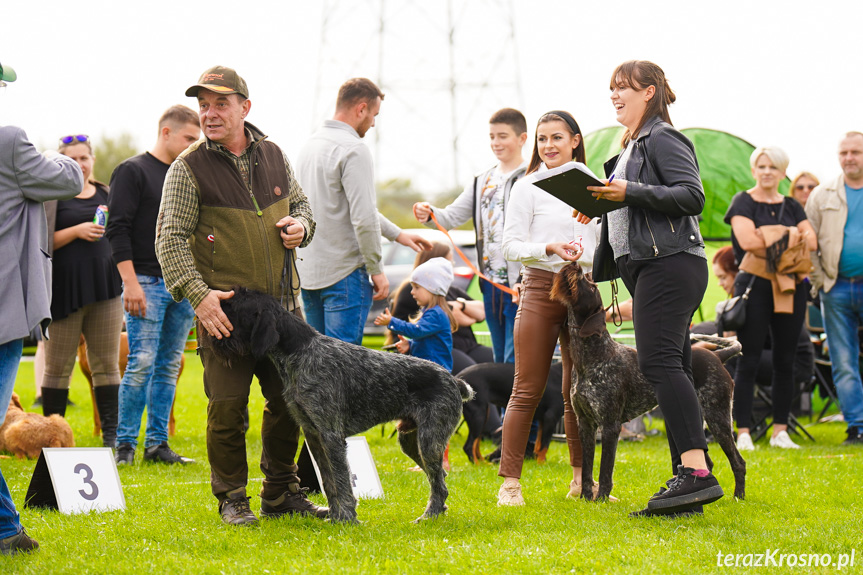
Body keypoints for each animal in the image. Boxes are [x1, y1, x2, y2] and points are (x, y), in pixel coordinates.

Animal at [210, 286, 480, 520]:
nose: (212, 324)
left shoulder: (331, 436)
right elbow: (329, 482)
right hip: (411, 442)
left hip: (429, 442)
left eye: (234, 306)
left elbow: (341, 481)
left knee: (439, 482)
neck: (299, 352)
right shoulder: (313, 435)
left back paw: (429, 516)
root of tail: (453, 380)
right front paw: (335, 516)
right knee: (440, 478)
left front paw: (347, 519)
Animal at [552, 264, 744, 504]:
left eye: (592, 285)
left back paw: (738, 497)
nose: (575, 265)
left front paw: (601, 499)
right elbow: (587, 468)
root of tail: (717, 356)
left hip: (718, 417)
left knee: (738, 462)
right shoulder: (585, 424)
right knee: (707, 462)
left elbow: (605, 470)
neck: (591, 357)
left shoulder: (610, 425)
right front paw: (586, 499)